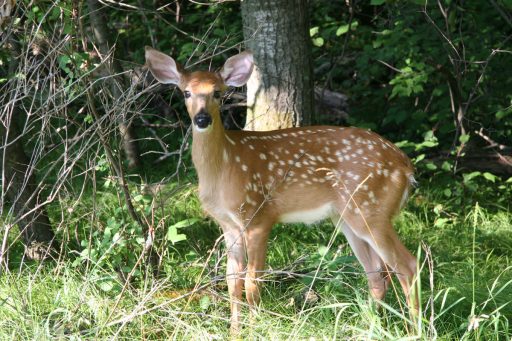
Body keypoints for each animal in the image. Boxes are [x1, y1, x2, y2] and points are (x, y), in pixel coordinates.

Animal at [145, 47, 420, 332]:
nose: (202, 119)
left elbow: (252, 283)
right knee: (377, 273)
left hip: (371, 209)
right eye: (186, 92)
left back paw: (415, 329)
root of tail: (406, 167)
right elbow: (232, 282)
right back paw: (369, 328)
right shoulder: (228, 225)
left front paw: (255, 327)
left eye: (218, 93)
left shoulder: (258, 216)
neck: (224, 166)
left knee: (408, 266)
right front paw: (235, 331)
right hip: (347, 218)